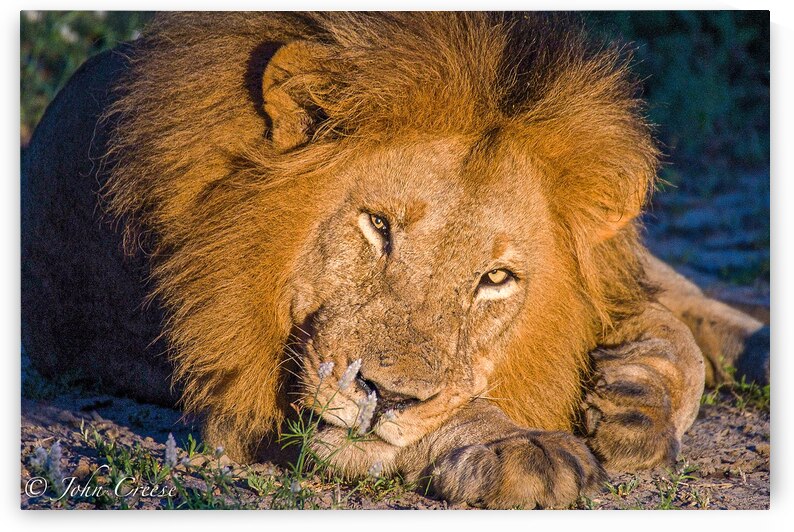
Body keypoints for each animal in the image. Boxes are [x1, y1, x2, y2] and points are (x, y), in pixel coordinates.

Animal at [21, 12, 768, 508]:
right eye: (377, 226)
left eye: (495, 279)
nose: (387, 396)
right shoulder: (238, 393)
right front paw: (516, 446)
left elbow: (666, 338)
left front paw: (631, 404)